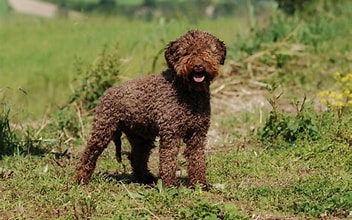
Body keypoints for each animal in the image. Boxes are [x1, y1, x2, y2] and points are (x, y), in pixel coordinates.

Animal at [75, 29, 227, 187]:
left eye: (208, 50)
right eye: (185, 52)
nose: (198, 65)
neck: (188, 91)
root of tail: (107, 92)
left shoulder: (198, 133)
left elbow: (197, 160)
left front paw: (200, 184)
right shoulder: (171, 133)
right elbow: (168, 160)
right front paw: (169, 186)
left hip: (141, 136)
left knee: (137, 158)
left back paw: (146, 179)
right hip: (103, 129)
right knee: (89, 154)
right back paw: (80, 179)